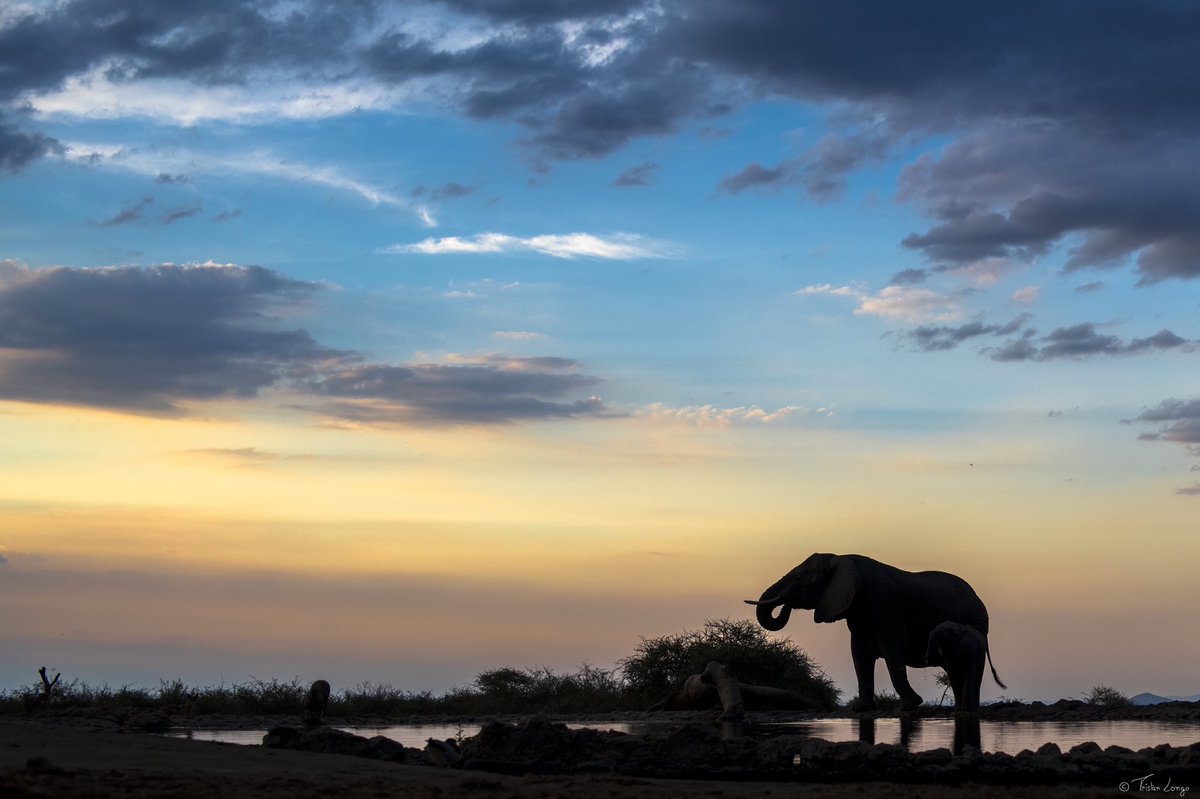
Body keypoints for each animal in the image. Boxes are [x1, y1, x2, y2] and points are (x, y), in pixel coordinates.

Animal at [745, 553, 997, 712]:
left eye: (799, 579)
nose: (786, 604)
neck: (842, 558)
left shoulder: (884, 604)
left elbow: (893, 652)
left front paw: (909, 705)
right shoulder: (857, 613)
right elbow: (859, 654)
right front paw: (862, 708)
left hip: (976, 626)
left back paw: (969, 709)